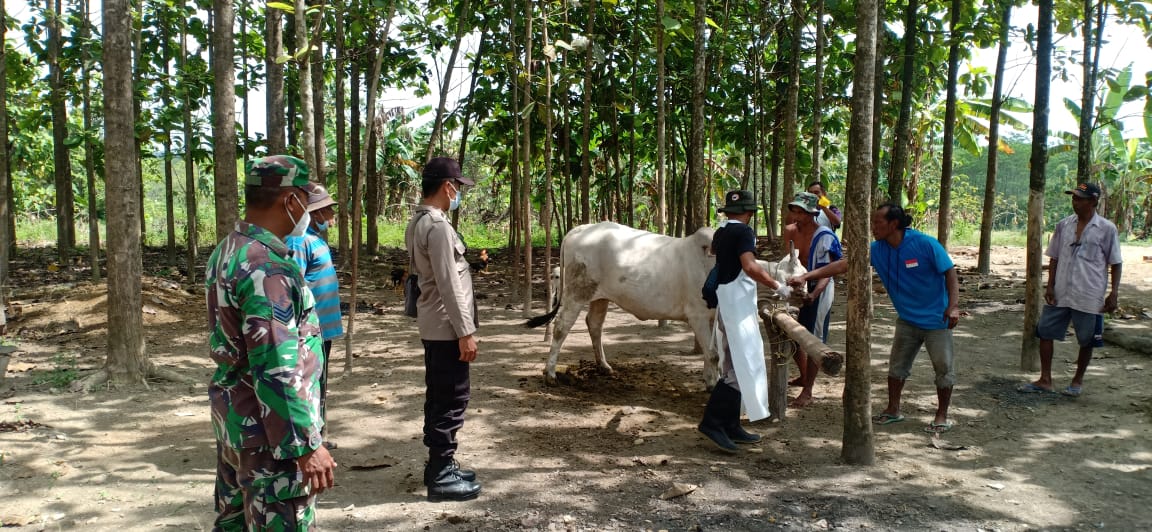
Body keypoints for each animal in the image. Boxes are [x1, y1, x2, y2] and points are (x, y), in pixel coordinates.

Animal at [527, 221, 806, 386]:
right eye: (798, 276)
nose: (807, 293)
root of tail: (577, 230)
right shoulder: (697, 315)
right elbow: (714, 354)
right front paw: (712, 383)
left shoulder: (712, 316)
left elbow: (712, 352)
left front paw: (709, 378)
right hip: (576, 293)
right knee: (561, 327)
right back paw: (550, 373)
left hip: (601, 297)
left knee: (594, 325)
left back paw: (604, 366)